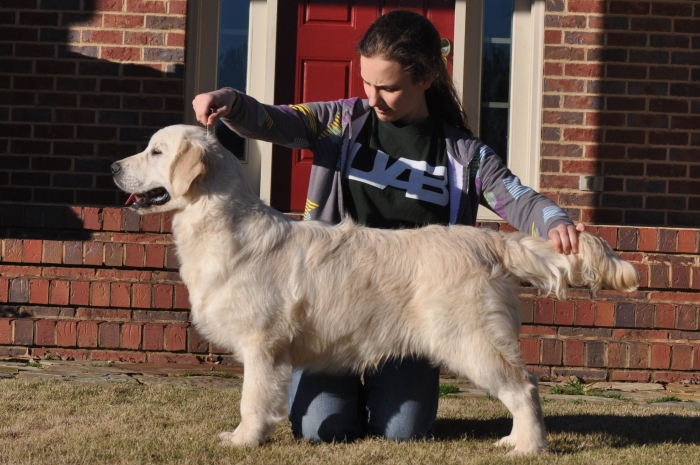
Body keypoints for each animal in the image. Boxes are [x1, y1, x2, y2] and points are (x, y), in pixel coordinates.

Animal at [113, 125, 640, 454]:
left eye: (156, 151)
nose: (115, 167)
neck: (222, 224)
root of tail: (486, 239)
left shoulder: (263, 344)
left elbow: (251, 400)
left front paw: (243, 440)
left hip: (471, 340)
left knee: (524, 389)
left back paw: (529, 447)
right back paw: (513, 440)